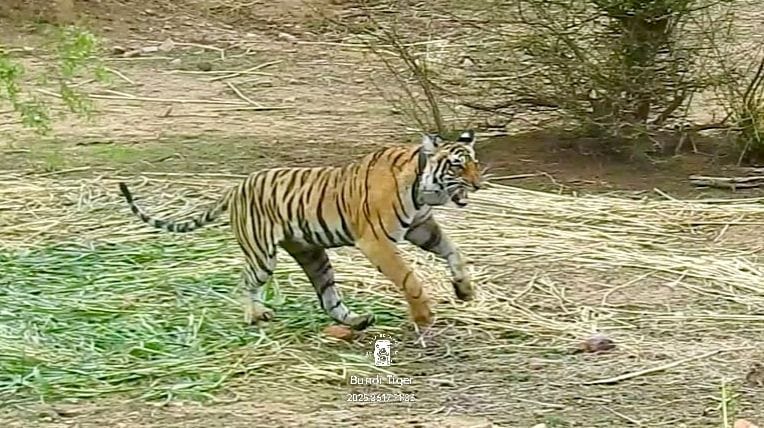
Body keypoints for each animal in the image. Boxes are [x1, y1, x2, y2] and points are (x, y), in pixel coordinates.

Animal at [117, 130, 483, 331]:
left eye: (475, 162)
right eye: (456, 166)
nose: (479, 185)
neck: (422, 189)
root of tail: (237, 187)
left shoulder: (421, 227)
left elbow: (454, 251)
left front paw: (464, 290)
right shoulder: (376, 240)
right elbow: (409, 278)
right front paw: (423, 316)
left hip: (313, 254)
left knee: (328, 298)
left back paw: (356, 321)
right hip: (262, 254)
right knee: (245, 281)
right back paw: (254, 315)